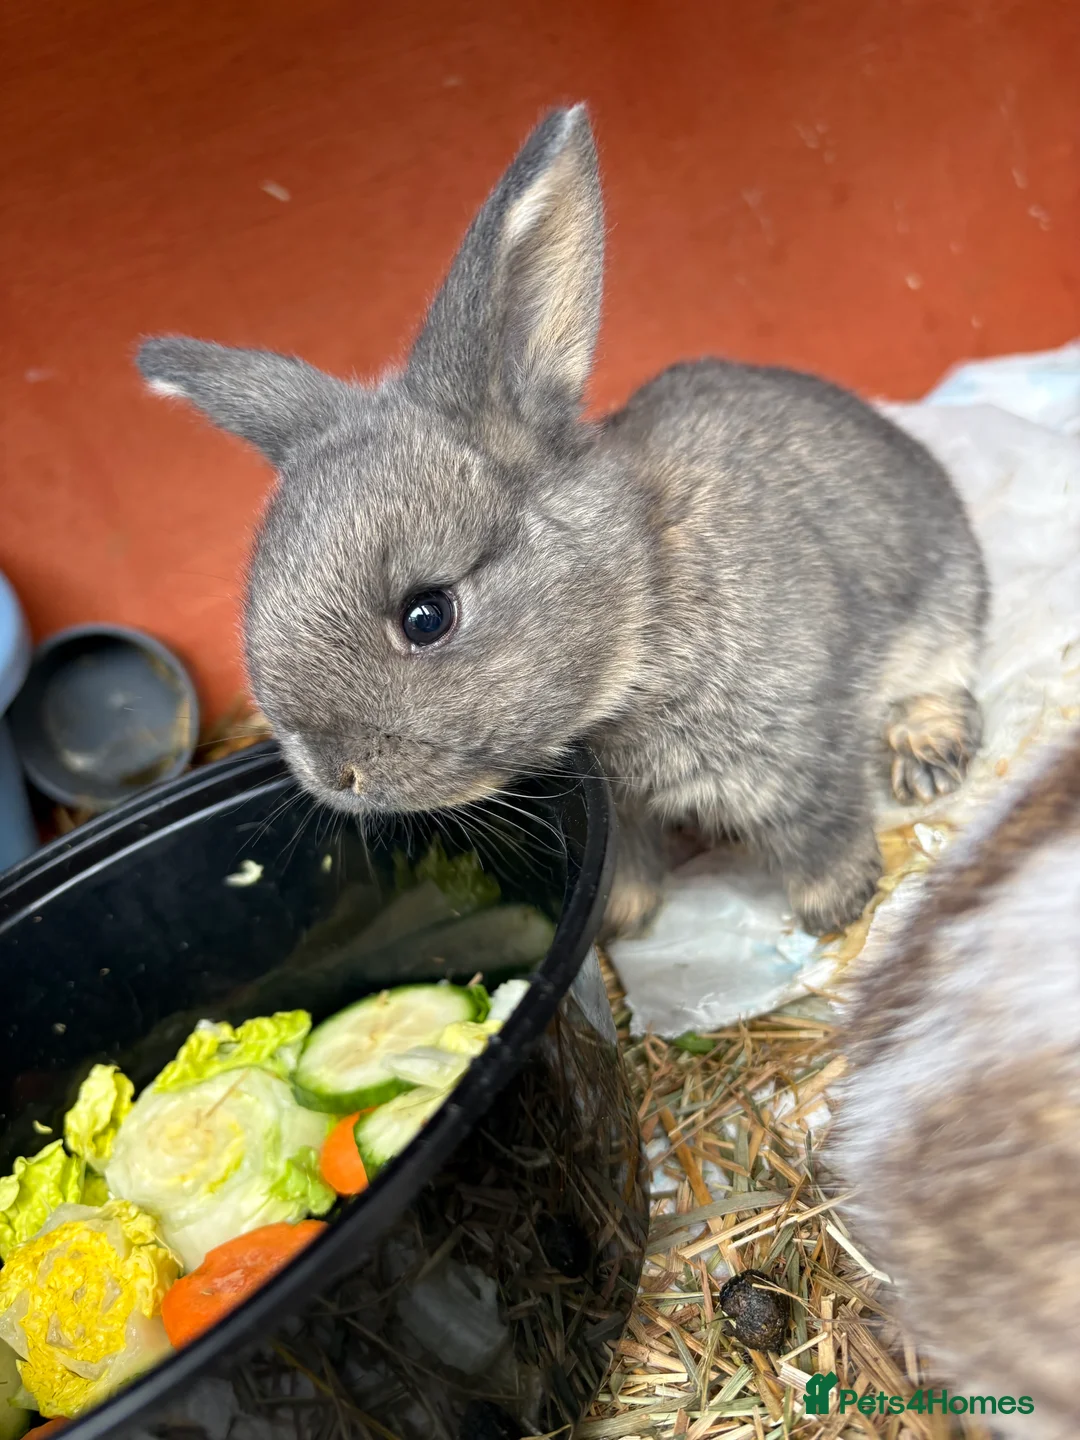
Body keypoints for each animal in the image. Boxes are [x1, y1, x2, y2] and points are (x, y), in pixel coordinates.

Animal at [134, 104, 987, 941]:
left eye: (427, 615)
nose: (337, 776)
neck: (645, 600)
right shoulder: (629, 810)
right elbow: (629, 864)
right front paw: (621, 920)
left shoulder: (798, 748)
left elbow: (818, 828)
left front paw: (835, 908)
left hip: (947, 604)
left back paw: (926, 755)